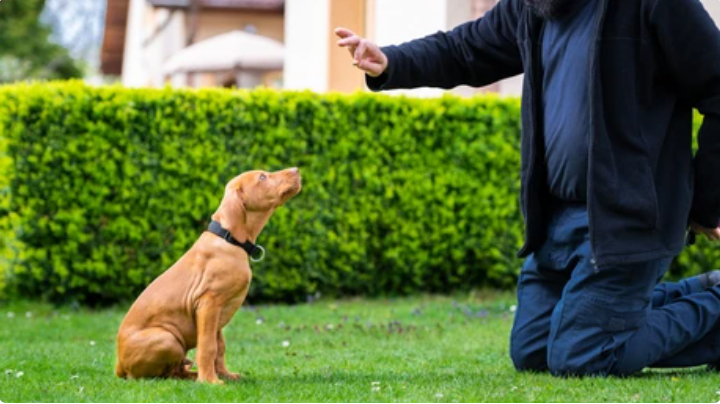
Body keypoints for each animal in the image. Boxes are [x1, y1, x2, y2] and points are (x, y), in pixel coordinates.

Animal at [116, 168, 300, 386]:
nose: (296, 169)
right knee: (157, 375)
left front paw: (224, 375)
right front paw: (210, 381)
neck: (229, 239)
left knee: (176, 371)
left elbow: (219, 347)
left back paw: (192, 374)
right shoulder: (208, 304)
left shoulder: (219, 311)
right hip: (167, 339)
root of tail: (118, 366)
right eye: (262, 177)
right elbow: (207, 346)